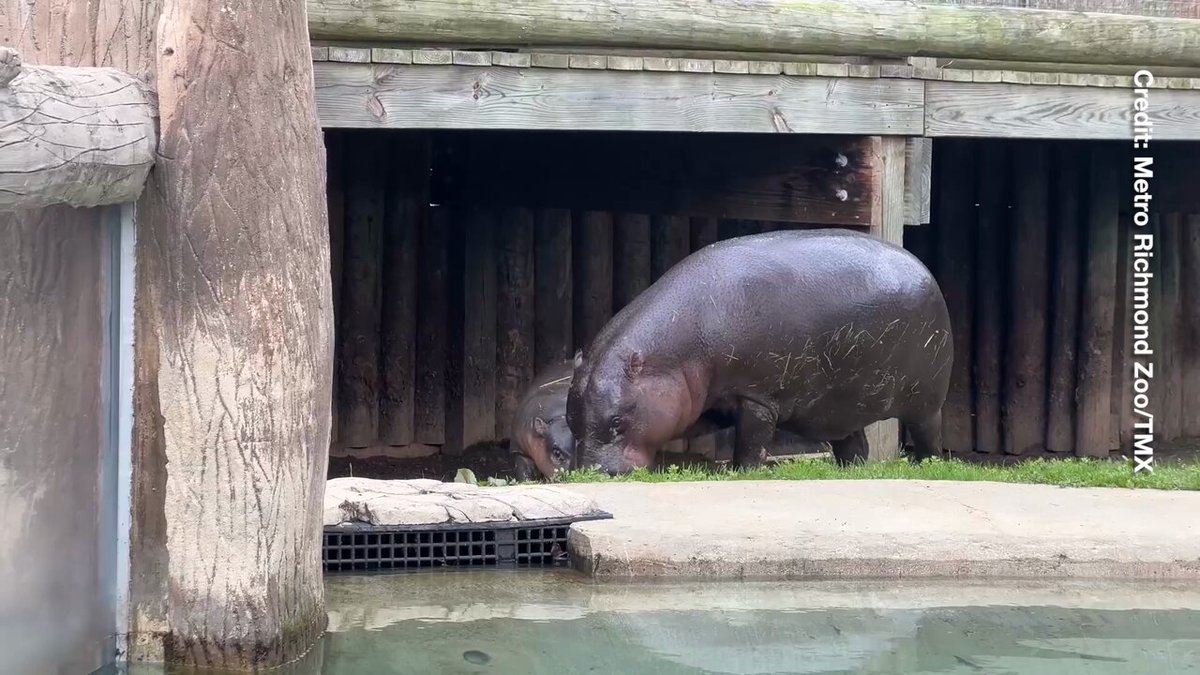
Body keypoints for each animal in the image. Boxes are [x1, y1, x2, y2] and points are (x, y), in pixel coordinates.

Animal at [566, 228, 952, 475]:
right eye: (571, 420)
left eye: (618, 420)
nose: (592, 473)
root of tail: (923, 269)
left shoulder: (757, 395)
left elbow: (751, 439)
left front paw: (741, 472)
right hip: (840, 406)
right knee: (853, 444)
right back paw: (848, 470)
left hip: (926, 399)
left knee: (928, 433)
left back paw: (925, 466)